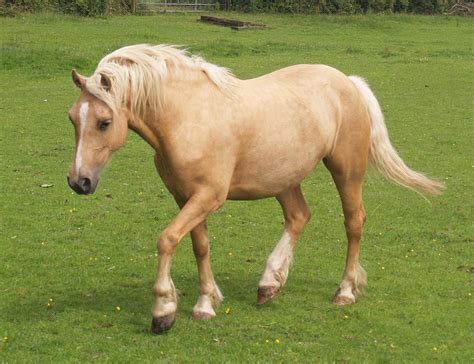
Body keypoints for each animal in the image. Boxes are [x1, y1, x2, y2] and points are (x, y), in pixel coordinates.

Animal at [67, 44, 444, 334]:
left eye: (104, 122)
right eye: (73, 118)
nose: (78, 181)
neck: (188, 117)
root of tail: (347, 82)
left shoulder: (207, 197)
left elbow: (167, 239)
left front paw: (163, 312)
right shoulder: (186, 197)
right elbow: (200, 247)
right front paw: (205, 303)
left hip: (347, 171)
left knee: (353, 223)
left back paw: (345, 291)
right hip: (284, 179)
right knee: (298, 217)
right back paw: (269, 283)